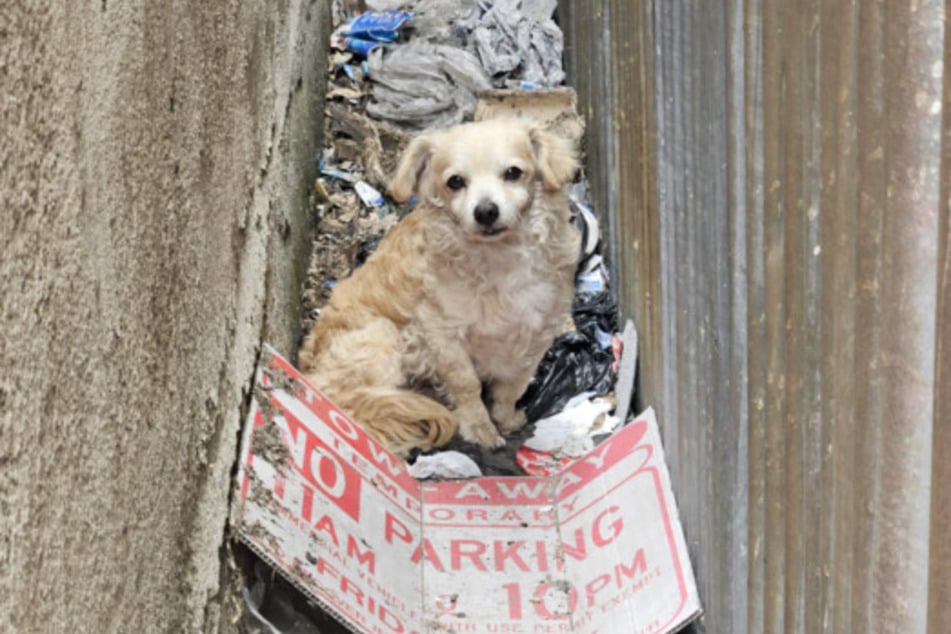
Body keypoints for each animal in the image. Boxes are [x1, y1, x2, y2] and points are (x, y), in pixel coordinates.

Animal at [298, 117, 580, 454]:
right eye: (455, 182)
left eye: (513, 173)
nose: (486, 211)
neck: (499, 258)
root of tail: (310, 376)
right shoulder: (442, 333)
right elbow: (467, 384)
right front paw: (480, 428)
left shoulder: (537, 332)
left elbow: (512, 385)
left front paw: (506, 418)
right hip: (382, 334)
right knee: (352, 401)